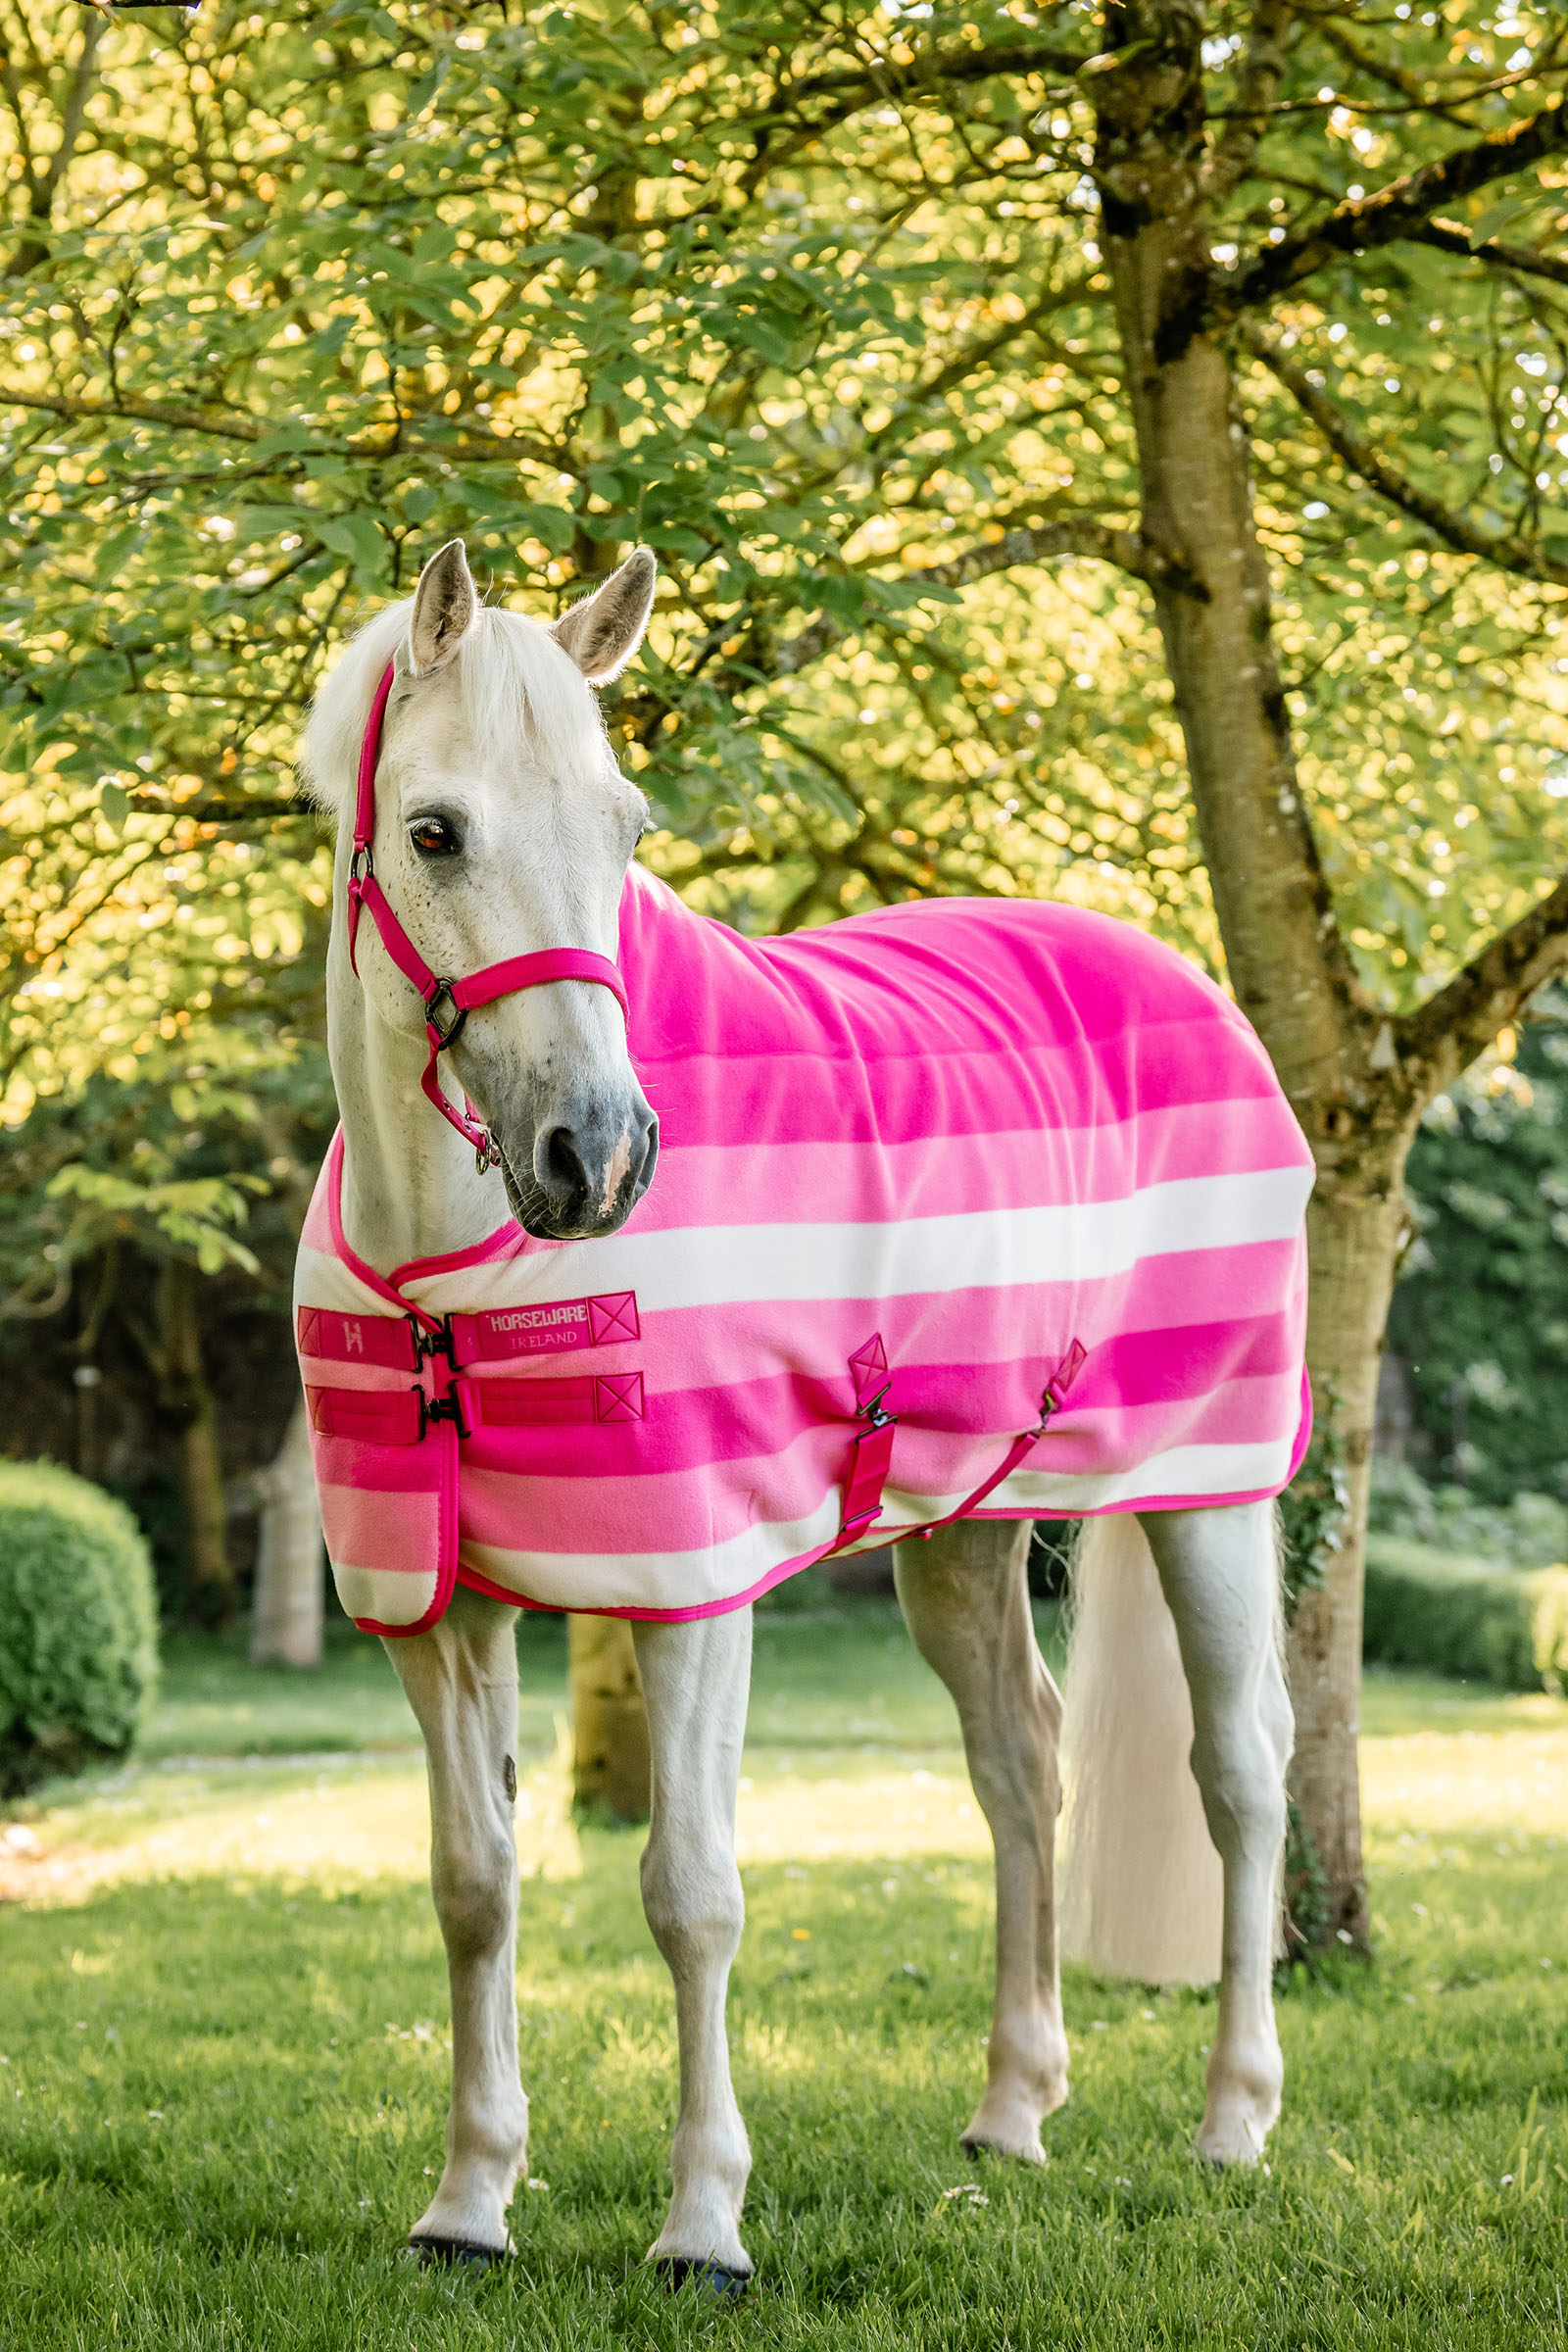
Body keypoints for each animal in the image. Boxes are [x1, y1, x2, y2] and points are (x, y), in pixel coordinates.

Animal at [296, 537, 1305, 2286]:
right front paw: (470, 2203)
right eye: (434, 832)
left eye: (629, 827)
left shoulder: (691, 1589)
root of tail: (1186, 977)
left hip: (1214, 1495)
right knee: (1021, 1765)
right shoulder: (436, 1609)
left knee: (1241, 1770)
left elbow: (691, 1893)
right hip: (963, 1530)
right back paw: (1012, 2112)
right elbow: (473, 1887)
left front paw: (703, 2224)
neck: (453, 1272)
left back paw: (1235, 2119)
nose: (599, 1155)